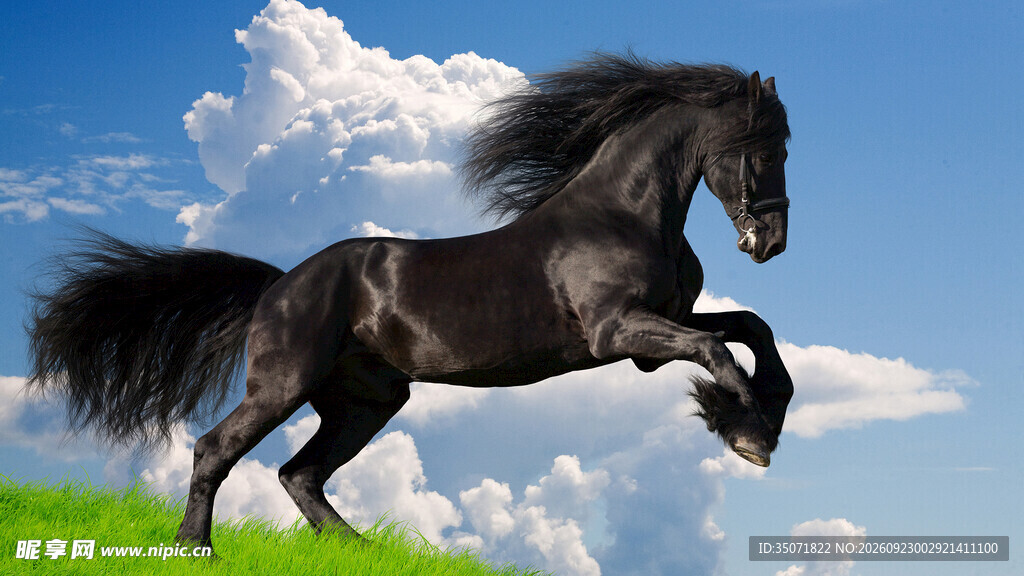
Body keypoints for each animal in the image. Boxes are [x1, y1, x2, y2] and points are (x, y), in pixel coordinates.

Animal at [25, 53, 794, 550]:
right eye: (765, 151)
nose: (771, 243)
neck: (622, 216)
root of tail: (278, 285)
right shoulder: (618, 334)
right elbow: (718, 348)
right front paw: (749, 435)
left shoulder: (654, 334)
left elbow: (751, 330)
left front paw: (761, 417)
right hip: (284, 384)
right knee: (217, 449)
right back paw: (193, 546)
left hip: (366, 401)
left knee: (299, 473)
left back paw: (358, 549)